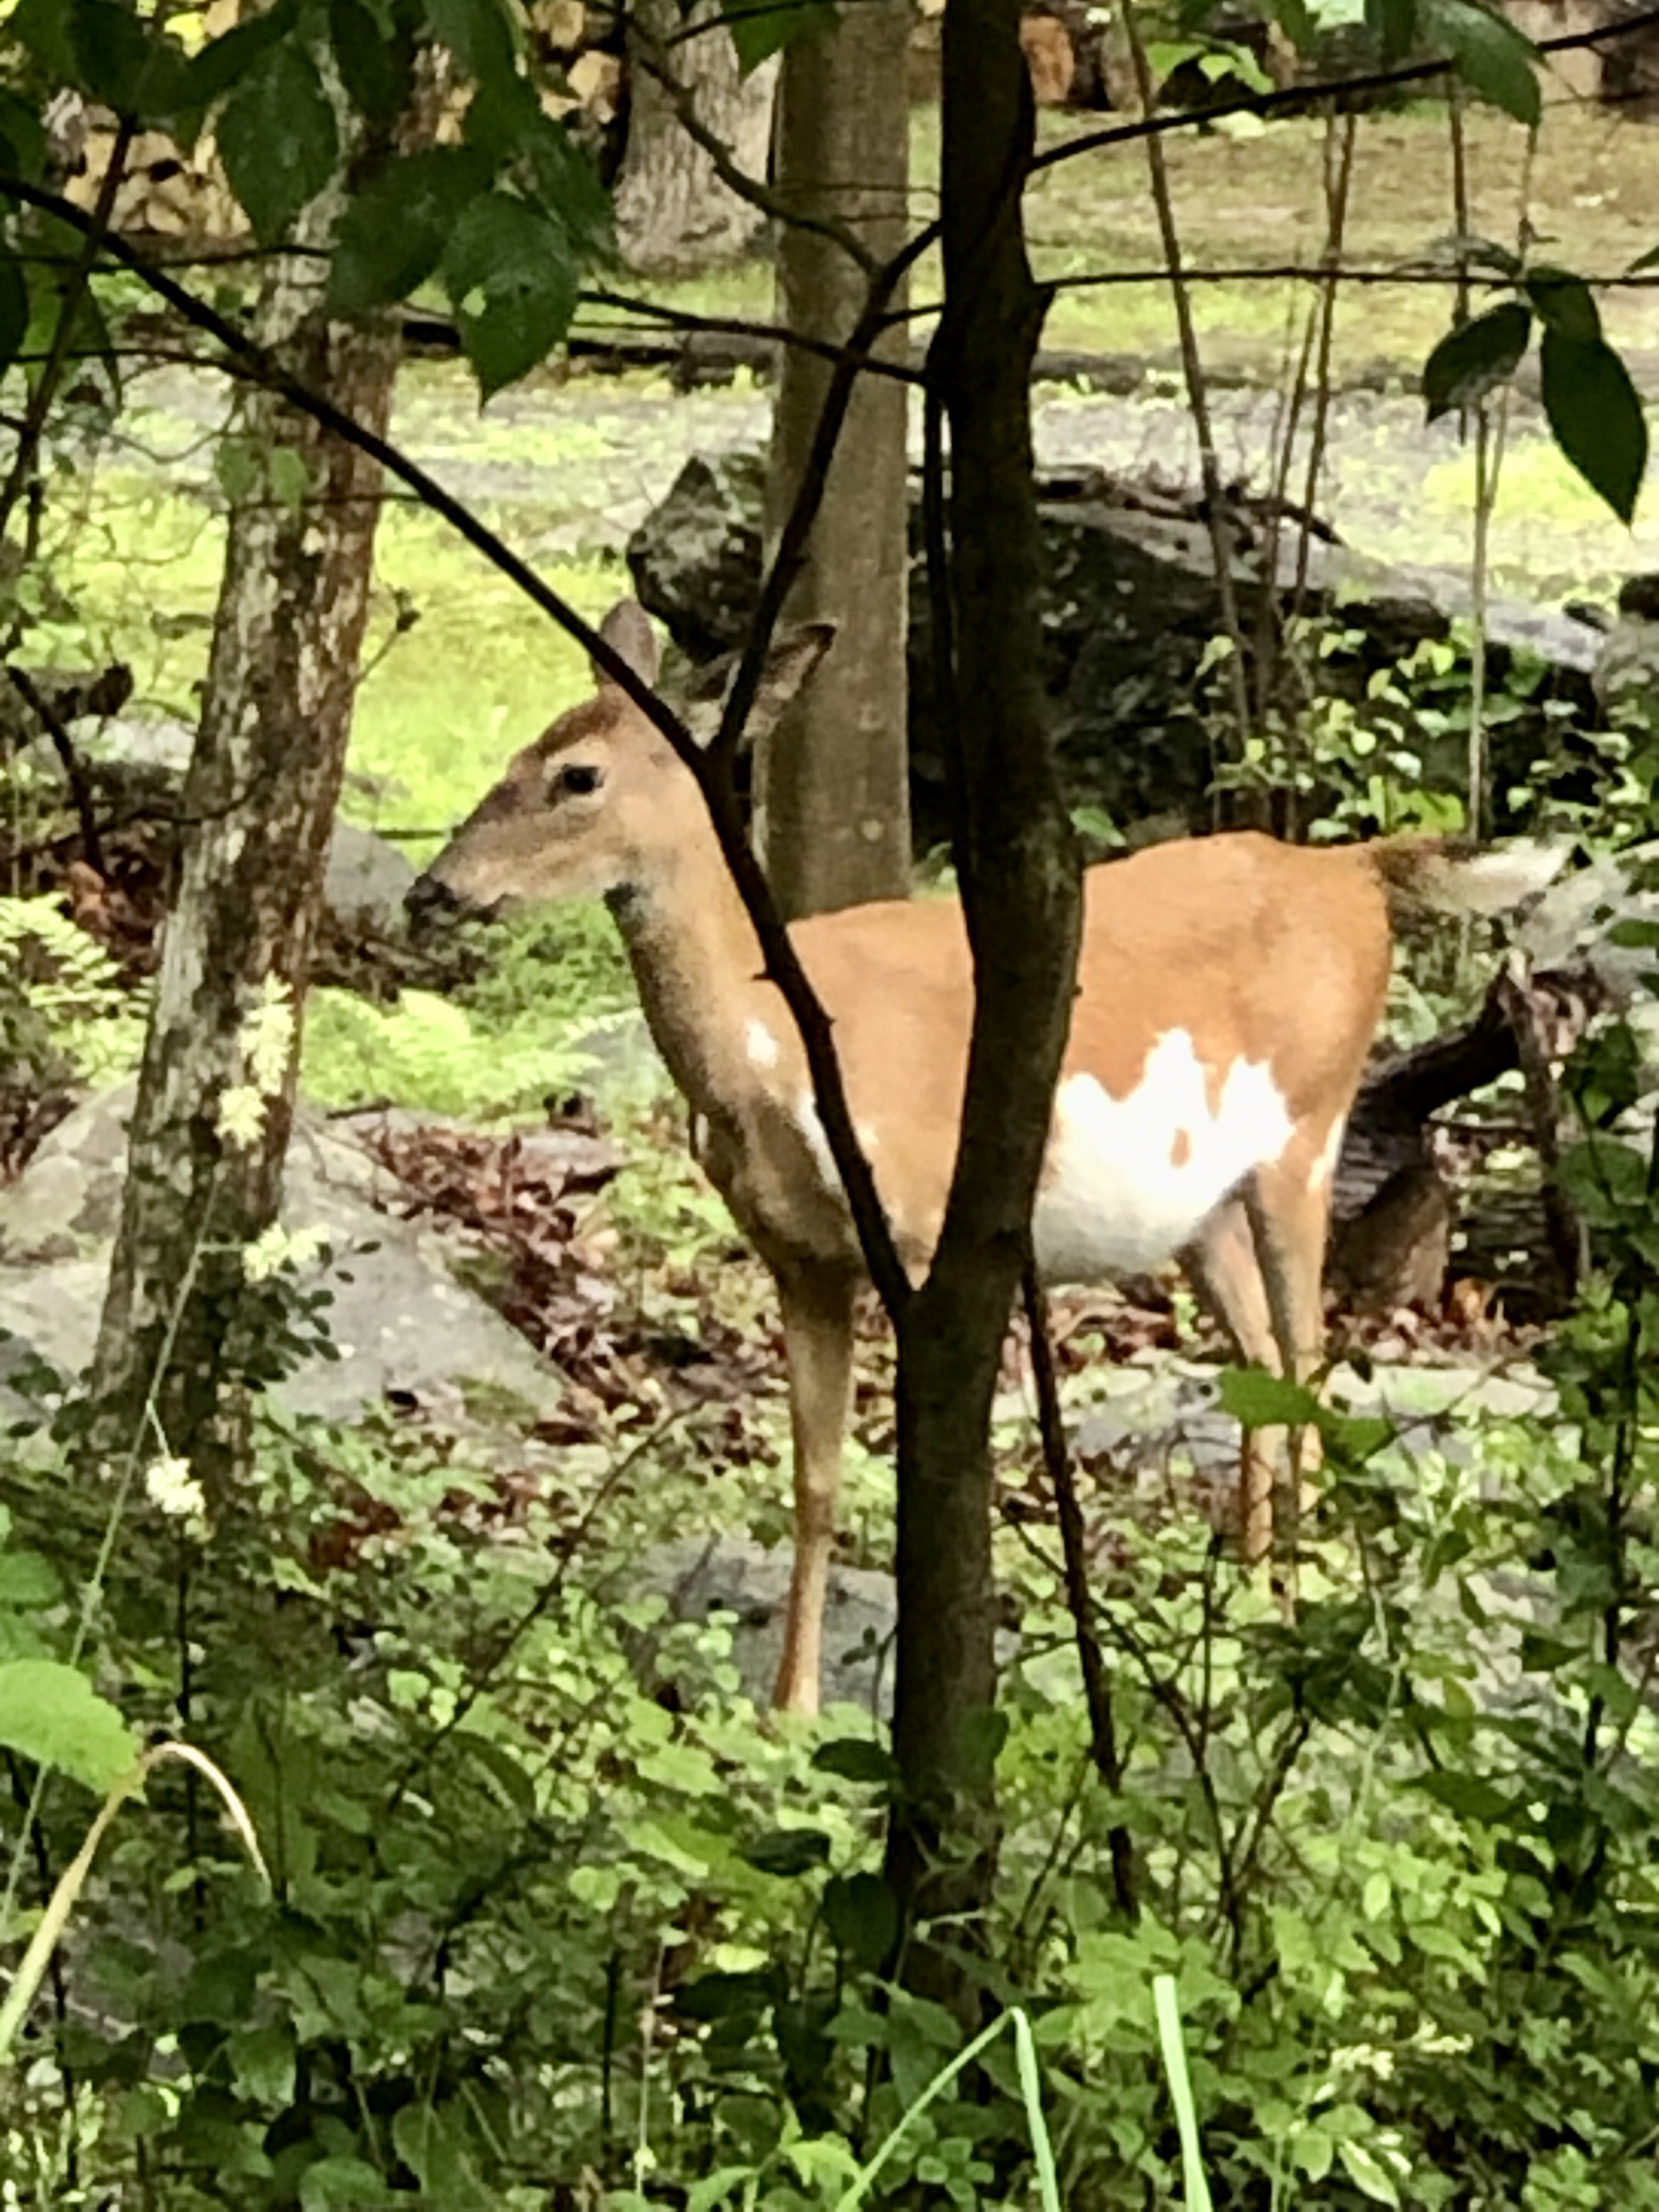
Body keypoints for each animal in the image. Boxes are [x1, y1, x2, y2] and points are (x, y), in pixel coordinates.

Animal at [410, 597, 1560, 1714]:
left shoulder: (927, 1227)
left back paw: (1297, 1631)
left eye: (577, 775)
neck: (777, 1045)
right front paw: (789, 1712)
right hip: (1196, 1203)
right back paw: (1242, 1614)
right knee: (1263, 1369)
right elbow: (815, 1479)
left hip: (1308, 1128)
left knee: (1309, 1369)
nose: (432, 888)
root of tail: (1350, 869)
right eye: (517, 750)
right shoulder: (797, 1254)